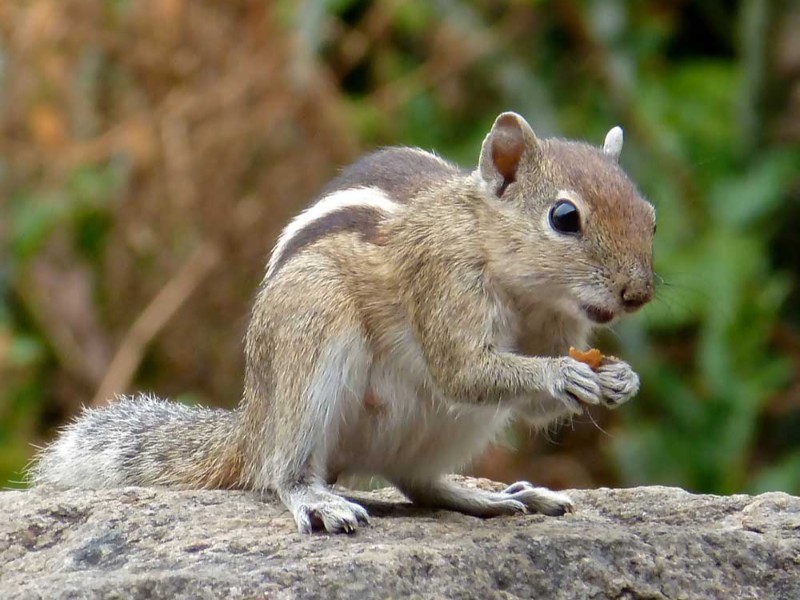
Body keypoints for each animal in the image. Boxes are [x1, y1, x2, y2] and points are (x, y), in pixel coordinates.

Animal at [31, 112, 656, 536]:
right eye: (564, 217)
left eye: (649, 217)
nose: (639, 294)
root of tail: (252, 422)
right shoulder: (443, 282)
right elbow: (462, 370)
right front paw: (562, 375)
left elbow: (532, 407)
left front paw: (622, 379)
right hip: (313, 334)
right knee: (282, 471)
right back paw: (317, 500)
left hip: (454, 428)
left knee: (418, 483)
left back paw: (499, 498)